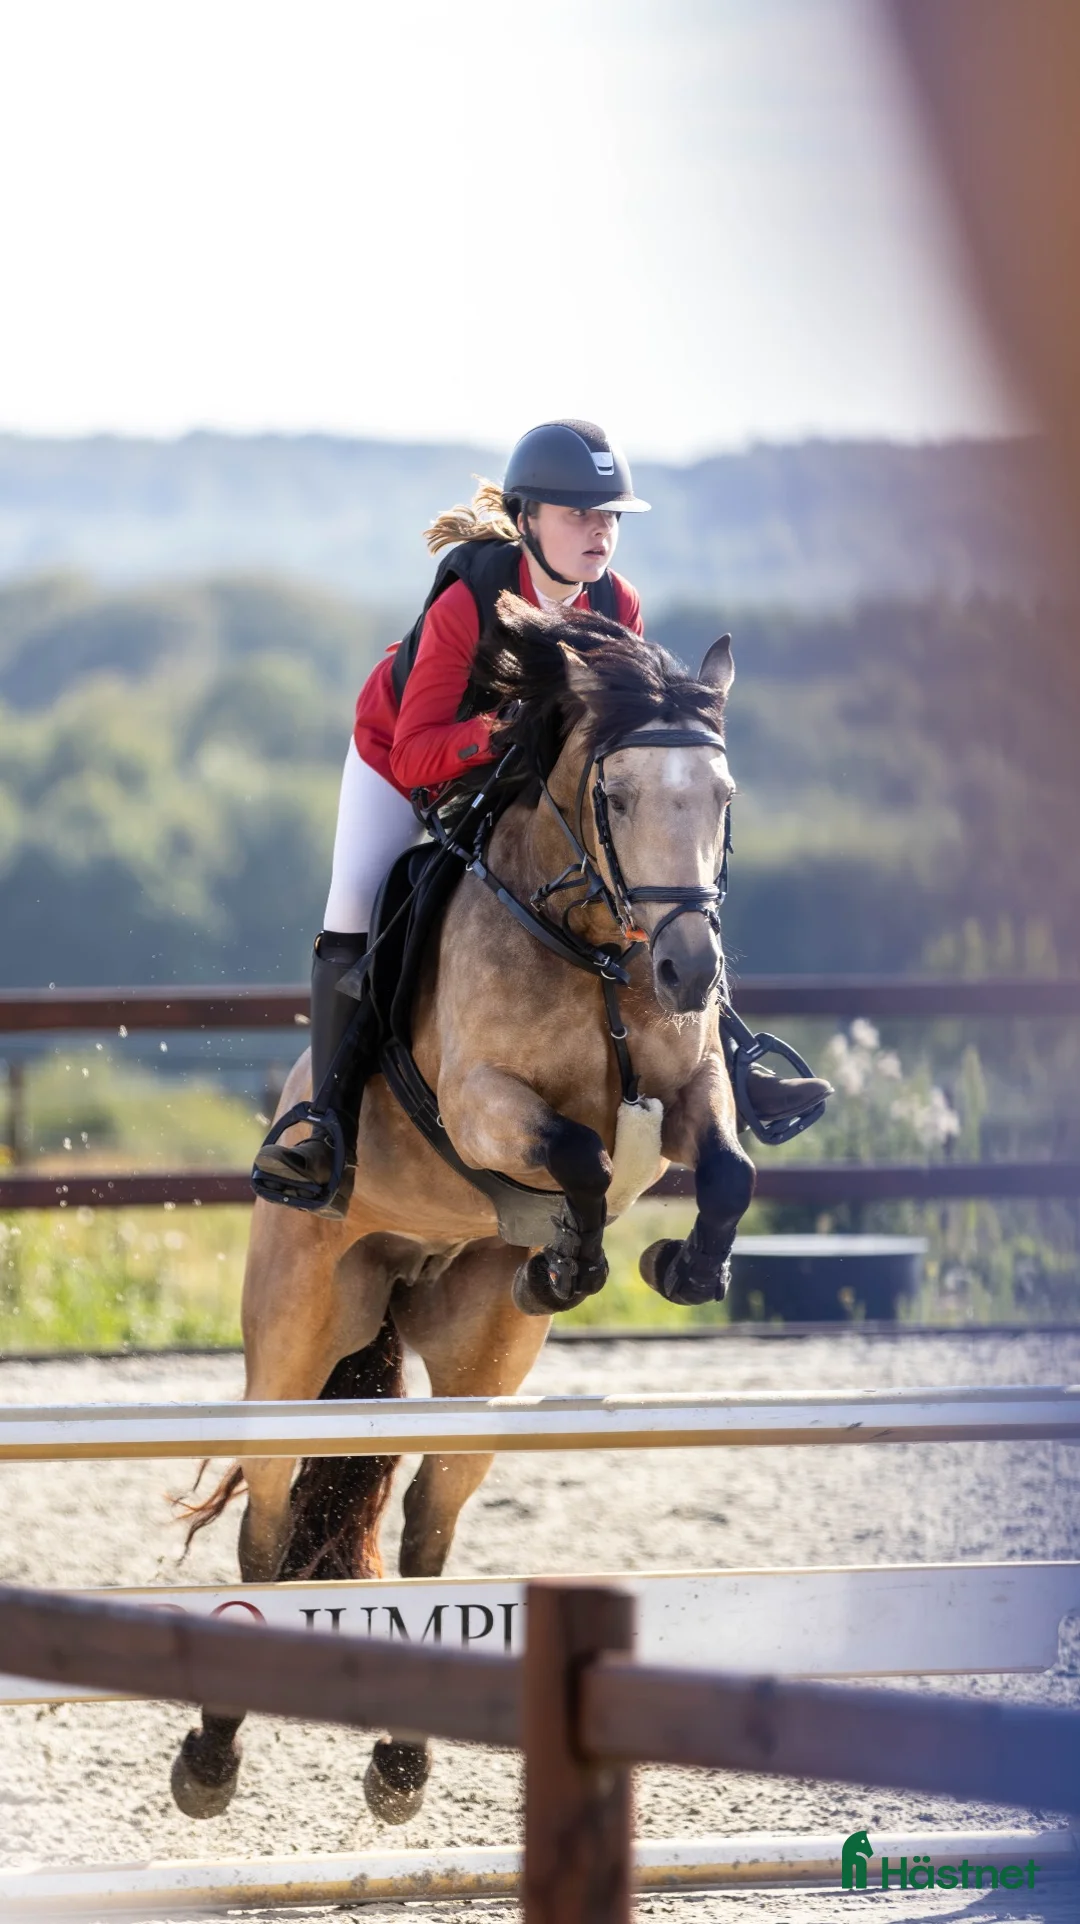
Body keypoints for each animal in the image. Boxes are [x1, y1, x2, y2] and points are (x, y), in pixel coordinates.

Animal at [173, 592, 755, 1826]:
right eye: (619, 799)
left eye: (722, 798)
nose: (689, 969)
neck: (595, 946)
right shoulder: (485, 1103)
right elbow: (579, 1150)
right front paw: (577, 1255)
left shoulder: (695, 1086)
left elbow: (723, 1167)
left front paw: (676, 1269)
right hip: (296, 1333)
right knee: (265, 1529)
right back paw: (212, 1756)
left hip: (481, 1365)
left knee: (430, 1538)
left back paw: (402, 1761)